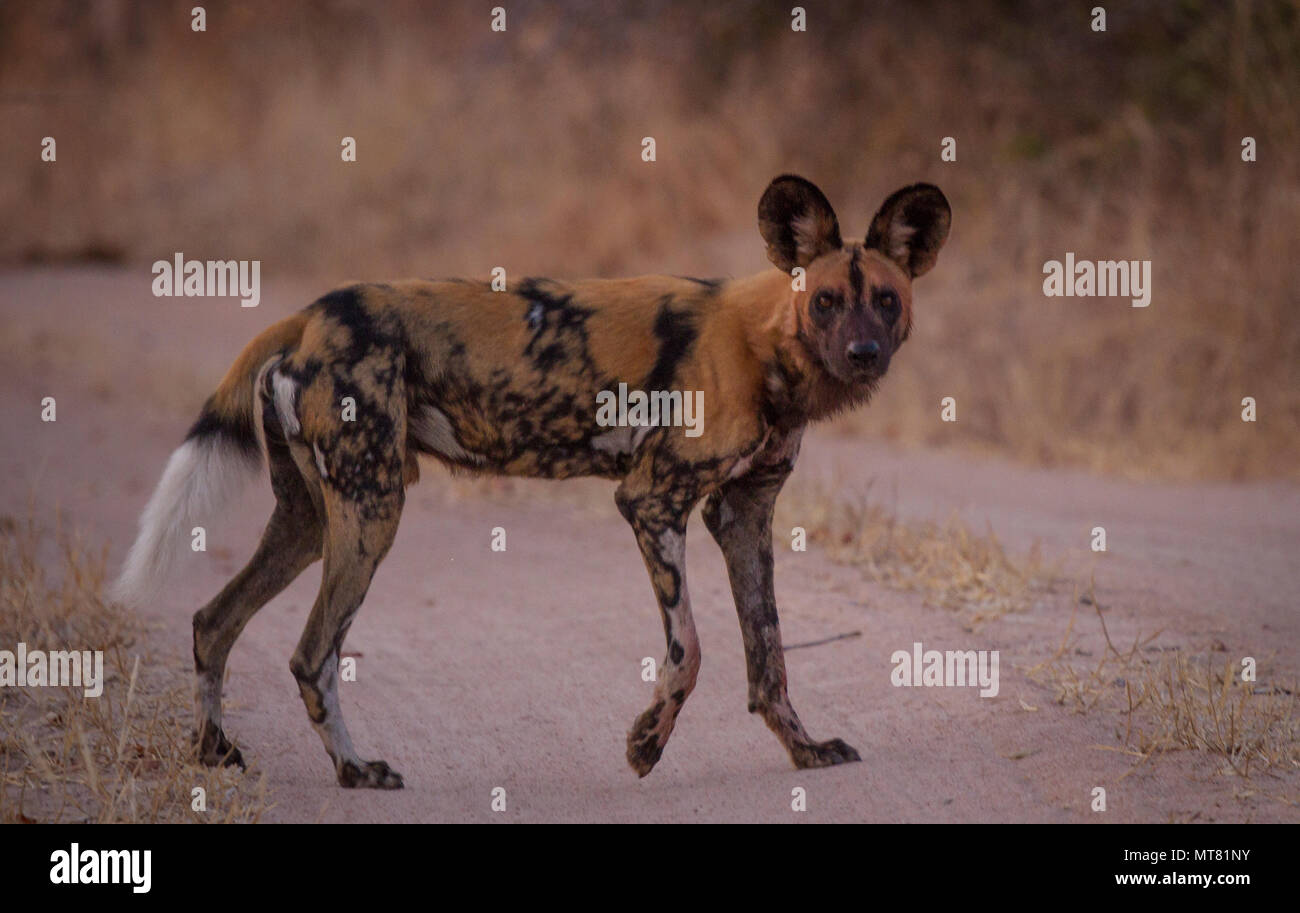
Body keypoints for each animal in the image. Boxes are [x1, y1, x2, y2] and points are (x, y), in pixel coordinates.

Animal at [114, 176, 946, 785]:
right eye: (826, 302)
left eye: (885, 301)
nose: (865, 353)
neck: (765, 343)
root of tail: (314, 313)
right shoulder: (651, 502)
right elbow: (692, 650)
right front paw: (646, 744)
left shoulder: (743, 514)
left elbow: (767, 655)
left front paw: (804, 752)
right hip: (372, 513)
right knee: (311, 654)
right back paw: (356, 769)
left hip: (314, 522)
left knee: (214, 619)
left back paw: (215, 752)